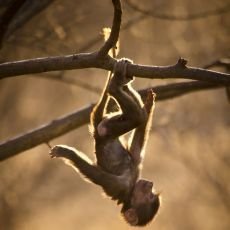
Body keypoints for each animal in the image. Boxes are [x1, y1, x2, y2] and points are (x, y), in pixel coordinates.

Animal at [49, 58, 160, 226]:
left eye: (150, 195)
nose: (150, 184)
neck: (131, 189)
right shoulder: (135, 170)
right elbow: (137, 146)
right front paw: (148, 103)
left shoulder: (119, 186)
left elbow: (95, 174)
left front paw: (67, 153)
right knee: (137, 117)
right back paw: (123, 81)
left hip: (104, 129)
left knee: (135, 117)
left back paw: (115, 85)